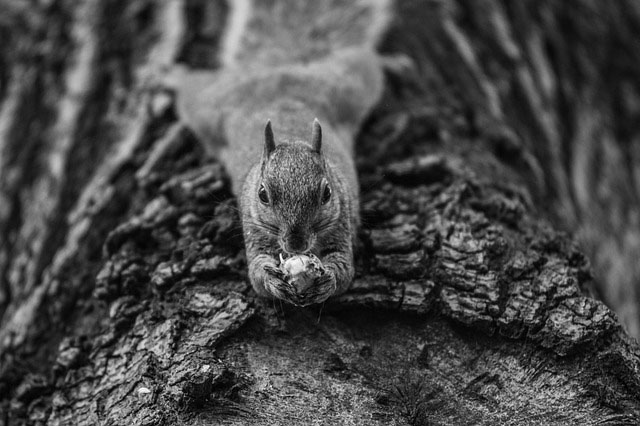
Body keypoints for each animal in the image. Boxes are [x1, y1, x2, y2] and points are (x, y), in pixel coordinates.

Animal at [170, 0, 388, 306]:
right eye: (263, 194)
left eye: (327, 193)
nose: (296, 244)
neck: (291, 135)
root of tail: (278, 68)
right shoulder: (254, 228)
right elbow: (256, 273)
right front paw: (272, 280)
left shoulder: (341, 222)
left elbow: (344, 269)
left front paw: (328, 281)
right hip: (209, 107)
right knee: (192, 87)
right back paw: (169, 75)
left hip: (348, 86)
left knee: (365, 60)